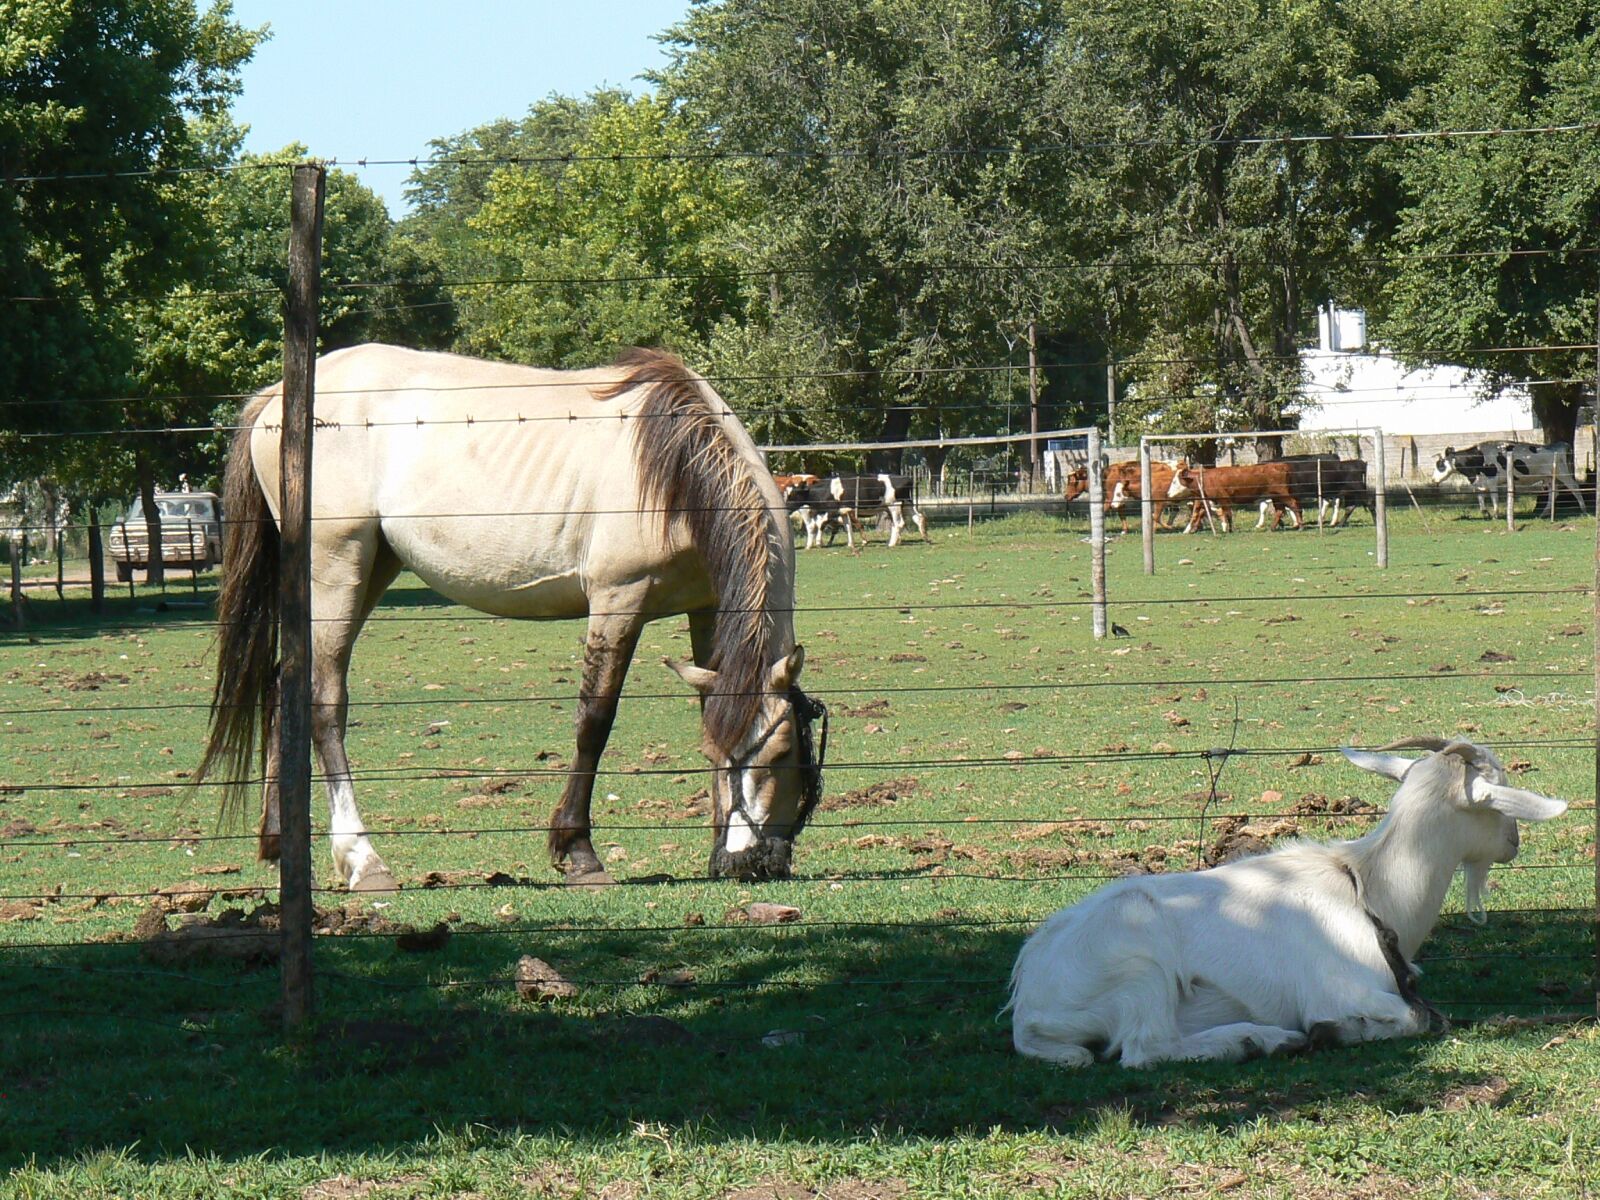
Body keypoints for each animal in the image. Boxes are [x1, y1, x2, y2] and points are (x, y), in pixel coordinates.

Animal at [196, 342, 825, 889]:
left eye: (780, 753)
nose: (746, 862)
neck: (673, 467)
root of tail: (277, 398)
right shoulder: (619, 601)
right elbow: (594, 721)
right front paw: (579, 853)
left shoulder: (706, 608)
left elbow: (705, 706)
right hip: (336, 567)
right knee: (325, 702)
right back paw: (362, 859)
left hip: (370, 567)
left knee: (284, 688)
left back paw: (280, 846)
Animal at [787, 473, 928, 550]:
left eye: (793, 494)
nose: (786, 507)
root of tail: (907, 478)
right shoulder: (844, 511)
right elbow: (848, 526)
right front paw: (850, 543)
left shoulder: (832, 509)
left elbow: (820, 523)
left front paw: (818, 543)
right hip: (906, 503)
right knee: (918, 517)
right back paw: (925, 537)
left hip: (894, 505)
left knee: (898, 523)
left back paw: (891, 544)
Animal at [1004, 742, 1568, 1068]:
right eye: (1498, 792)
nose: (1514, 842)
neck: (1367, 888)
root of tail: (1028, 1001)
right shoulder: (1338, 990)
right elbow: (1420, 1019)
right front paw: (1333, 1032)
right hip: (1140, 965)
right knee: (1146, 1049)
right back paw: (1261, 1040)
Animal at [1171, 464, 1305, 534]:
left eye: (1175, 482)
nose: (1169, 494)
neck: (1205, 479)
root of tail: (1281, 465)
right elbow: (1225, 514)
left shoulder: (1224, 499)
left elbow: (1227, 514)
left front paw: (1229, 529)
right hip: (1276, 497)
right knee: (1280, 510)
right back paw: (1272, 528)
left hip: (1283, 494)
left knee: (1294, 505)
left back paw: (1300, 526)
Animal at [1440, 441, 1587, 518]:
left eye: (1440, 464)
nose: (1434, 479)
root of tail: (1558, 445)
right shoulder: (1479, 483)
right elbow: (1480, 496)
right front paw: (1485, 513)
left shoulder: (1492, 481)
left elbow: (1494, 497)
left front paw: (1495, 515)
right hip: (1549, 478)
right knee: (1554, 493)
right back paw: (1544, 513)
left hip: (1563, 473)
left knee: (1574, 487)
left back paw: (1583, 509)